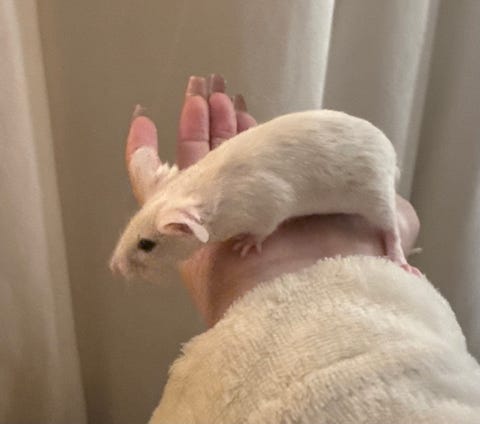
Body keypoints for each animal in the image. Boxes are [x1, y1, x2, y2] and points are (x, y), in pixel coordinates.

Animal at [110, 109, 413, 281]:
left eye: (146, 244)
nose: (114, 267)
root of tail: (392, 157)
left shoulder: (266, 203)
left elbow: (266, 225)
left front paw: (247, 243)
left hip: (376, 193)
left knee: (390, 228)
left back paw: (399, 258)